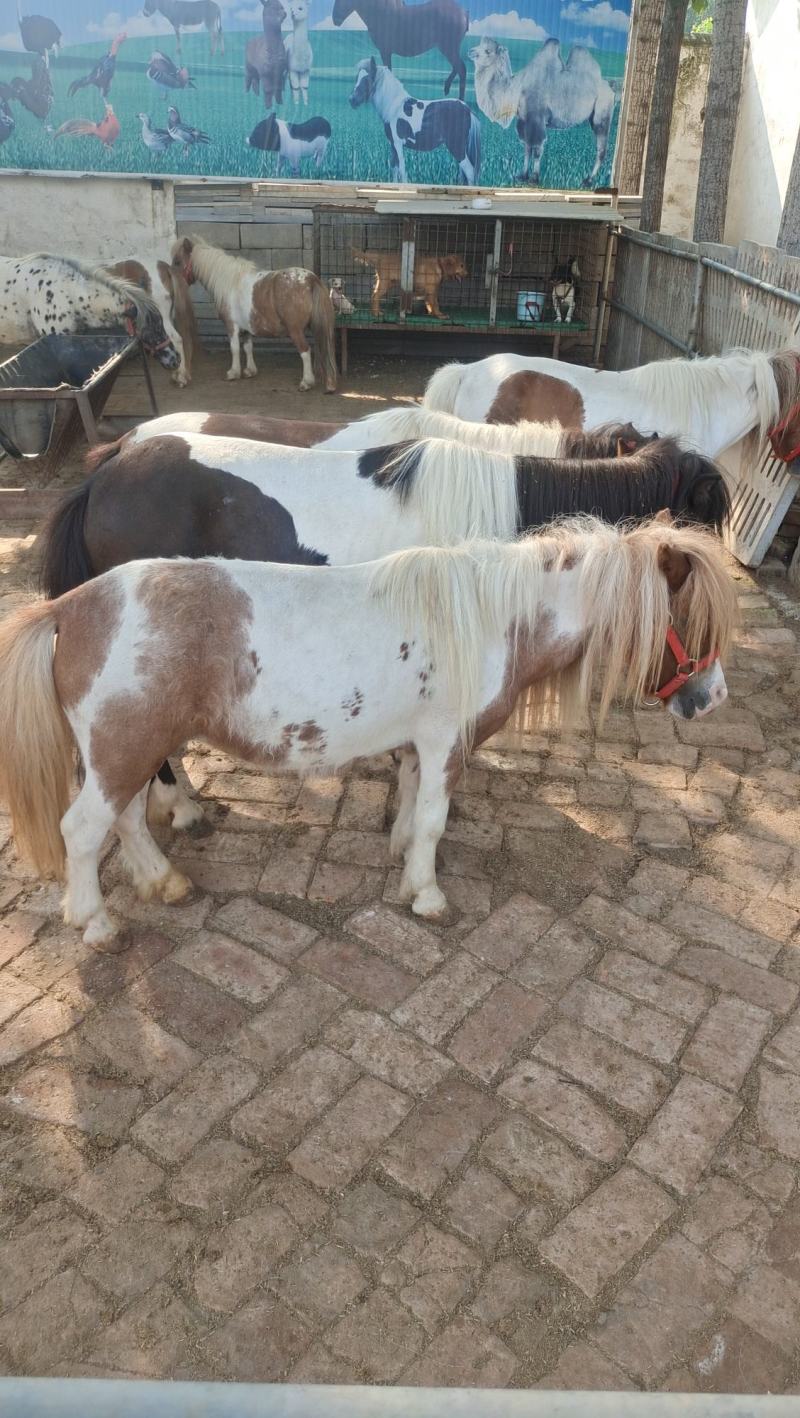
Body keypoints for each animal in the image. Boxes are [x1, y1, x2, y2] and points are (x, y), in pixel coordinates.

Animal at [0, 516, 736, 943]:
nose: (712, 699)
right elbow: (435, 820)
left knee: (125, 820)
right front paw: (428, 895)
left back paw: (163, 881)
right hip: (123, 749)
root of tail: (72, 605)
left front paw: (403, 864)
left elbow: (411, 806)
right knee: (83, 831)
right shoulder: (446, 743)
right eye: (692, 620)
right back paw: (94, 922)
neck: (493, 618)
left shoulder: (417, 745)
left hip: (129, 751)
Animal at [171, 236, 337, 391]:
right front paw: (250, 371)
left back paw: (306, 382)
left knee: (305, 351)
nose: (174, 282)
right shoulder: (246, 328)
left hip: (295, 330)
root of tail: (311, 279)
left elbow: (234, 348)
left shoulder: (231, 326)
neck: (229, 283)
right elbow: (248, 347)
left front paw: (233, 372)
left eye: (177, 261)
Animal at [334, 0, 468, 101]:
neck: (379, 13)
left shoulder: (385, 51)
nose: (335, 19)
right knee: (457, 67)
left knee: (461, 68)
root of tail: (464, 12)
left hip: (448, 47)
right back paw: (447, 88)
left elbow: (388, 70)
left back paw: (460, 99)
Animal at [350, 57, 480, 186]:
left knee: (469, 172)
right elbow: (394, 169)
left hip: (457, 147)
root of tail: (467, 109)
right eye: (357, 78)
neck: (394, 108)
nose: (352, 100)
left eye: (366, 80)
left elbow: (402, 170)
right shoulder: (393, 145)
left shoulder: (398, 143)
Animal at [469, 36, 615, 187]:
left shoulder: (536, 119)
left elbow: (537, 149)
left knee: (601, 148)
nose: (470, 51)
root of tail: (610, 87)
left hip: (602, 114)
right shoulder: (524, 121)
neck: (516, 89)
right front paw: (522, 175)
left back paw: (588, 180)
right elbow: (527, 148)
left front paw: (534, 178)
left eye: (488, 51)